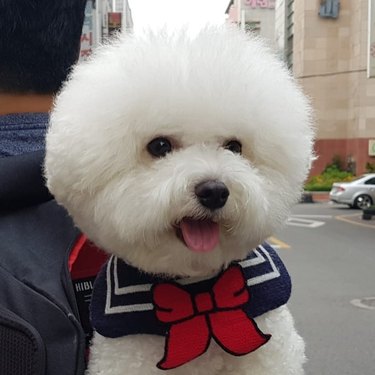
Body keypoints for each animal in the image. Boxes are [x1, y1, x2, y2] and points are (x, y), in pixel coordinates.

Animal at [44, 26, 314, 375]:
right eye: (159, 146)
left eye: (234, 147)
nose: (214, 191)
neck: (196, 284)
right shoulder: (126, 354)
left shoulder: (270, 346)